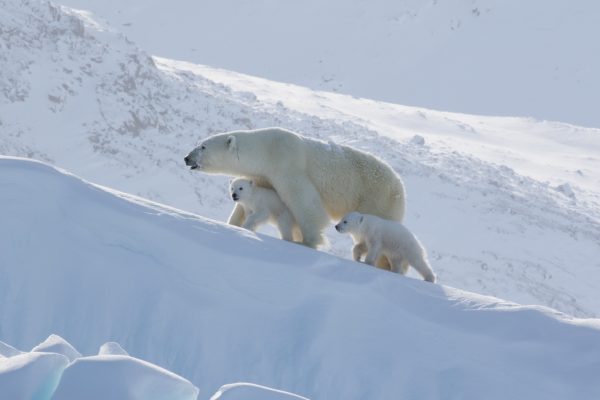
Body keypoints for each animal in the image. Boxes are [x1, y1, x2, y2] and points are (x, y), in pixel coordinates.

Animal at [185, 126, 406, 248]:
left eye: (203, 146)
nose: (187, 158)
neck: (265, 149)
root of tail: (399, 185)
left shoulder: (287, 164)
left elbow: (305, 202)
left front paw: (308, 240)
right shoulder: (264, 174)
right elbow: (250, 201)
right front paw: (234, 224)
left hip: (376, 198)